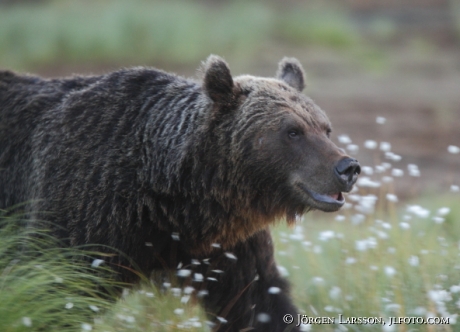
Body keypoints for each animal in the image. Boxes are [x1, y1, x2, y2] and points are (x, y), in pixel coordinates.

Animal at [0, 57, 360, 332]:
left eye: (324, 128)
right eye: (292, 131)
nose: (348, 167)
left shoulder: (228, 243)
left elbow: (257, 300)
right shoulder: (83, 207)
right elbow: (54, 289)